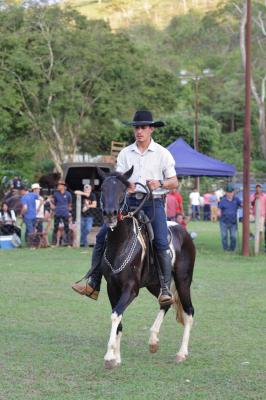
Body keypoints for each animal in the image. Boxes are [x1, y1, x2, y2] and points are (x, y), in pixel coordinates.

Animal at [97, 166, 195, 368]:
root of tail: (184, 232)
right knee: (166, 302)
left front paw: (109, 357)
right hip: (156, 284)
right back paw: (153, 341)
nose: (110, 214)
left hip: (183, 281)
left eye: (122, 190)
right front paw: (117, 358)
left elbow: (115, 315)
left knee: (189, 312)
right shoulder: (112, 288)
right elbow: (118, 319)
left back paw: (181, 353)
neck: (120, 244)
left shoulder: (131, 289)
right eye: (102, 188)